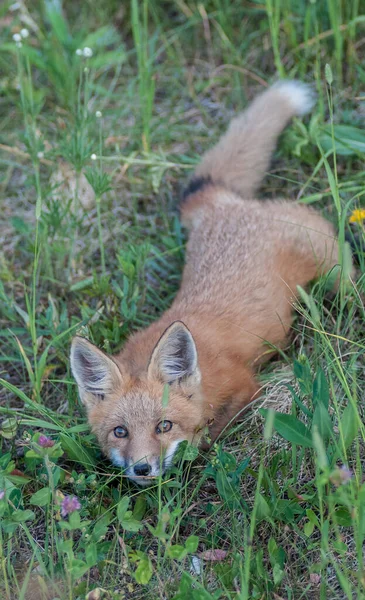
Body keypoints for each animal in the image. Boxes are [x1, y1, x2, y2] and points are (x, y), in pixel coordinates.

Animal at [70, 81, 338, 488]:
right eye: (120, 432)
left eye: (164, 426)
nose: (142, 469)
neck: (204, 379)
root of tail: (218, 206)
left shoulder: (246, 386)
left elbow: (212, 434)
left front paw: (196, 448)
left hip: (331, 261)